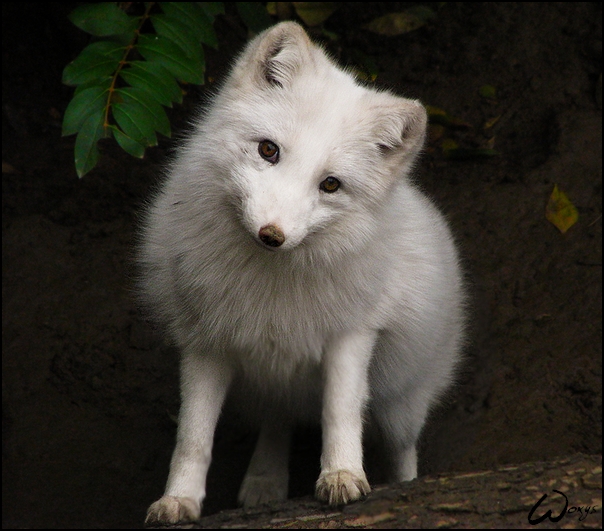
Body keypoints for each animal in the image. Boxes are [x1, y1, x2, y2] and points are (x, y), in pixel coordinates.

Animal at [144, 21, 464, 528]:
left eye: (330, 184)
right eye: (268, 150)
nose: (271, 234)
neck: (271, 287)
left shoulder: (353, 334)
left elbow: (340, 410)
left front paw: (342, 475)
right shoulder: (203, 341)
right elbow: (193, 435)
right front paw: (179, 500)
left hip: (401, 402)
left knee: (403, 447)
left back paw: (406, 486)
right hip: (271, 381)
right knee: (278, 419)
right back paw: (265, 482)